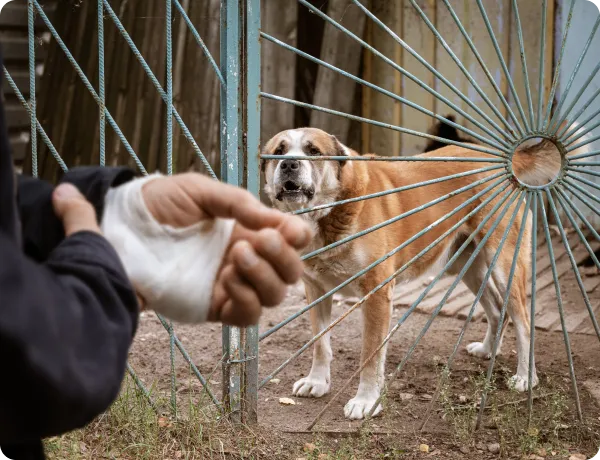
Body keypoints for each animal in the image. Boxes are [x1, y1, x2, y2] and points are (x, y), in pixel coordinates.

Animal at [262, 124, 592, 418]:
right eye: (278, 152)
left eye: (313, 151)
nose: (289, 164)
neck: (331, 211)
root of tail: (502, 160)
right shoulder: (316, 290)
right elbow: (320, 344)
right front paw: (317, 382)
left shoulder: (377, 295)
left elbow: (370, 356)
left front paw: (366, 401)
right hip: (467, 266)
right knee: (498, 310)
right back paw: (488, 350)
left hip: (504, 264)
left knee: (523, 322)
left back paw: (526, 377)